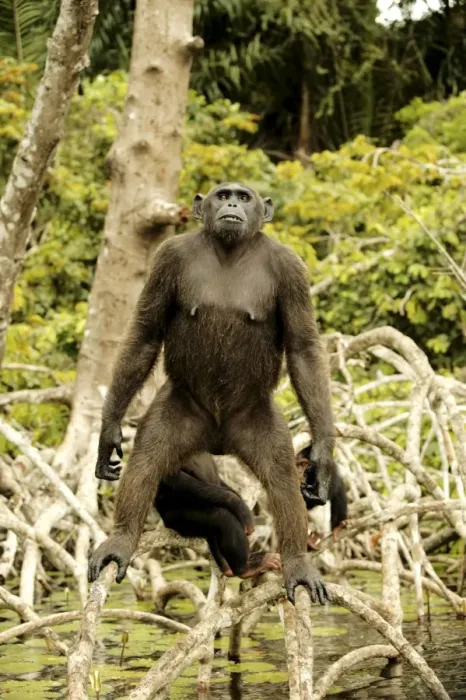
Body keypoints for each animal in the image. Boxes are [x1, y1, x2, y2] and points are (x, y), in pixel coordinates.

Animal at [88, 182, 336, 606]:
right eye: (222, 194)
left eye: (245, 196)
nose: (232, 203)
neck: (230, 250)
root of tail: (218, 438)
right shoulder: (167, 259)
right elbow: (144, 334)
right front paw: (109, 431)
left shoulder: (292, 270)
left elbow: (303, 348)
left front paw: (321, 455)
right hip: (181, 413)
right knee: (147, 461)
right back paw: (121, 539)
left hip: (254, 421)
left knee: (282, 478)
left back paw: (295, 562)